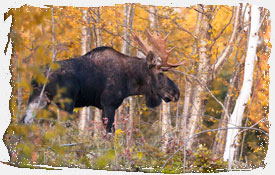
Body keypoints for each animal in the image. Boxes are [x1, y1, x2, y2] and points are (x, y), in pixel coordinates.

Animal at [20, 29, 184, 133]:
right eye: (161, 73)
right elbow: (109, 135)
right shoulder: (109, 104)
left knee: (23, 121)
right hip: (66, 103)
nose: (176, 92)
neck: (129, 83)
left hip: (38, 99)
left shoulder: (101, 107)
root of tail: (38, 76)